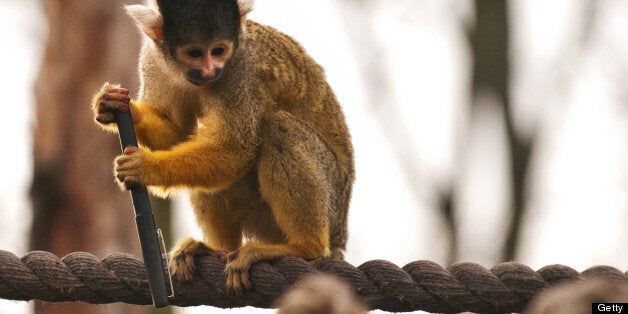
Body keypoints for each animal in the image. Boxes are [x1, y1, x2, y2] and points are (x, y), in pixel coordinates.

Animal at [92, 0, 354, 296]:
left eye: (218, 51)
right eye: (195, 53)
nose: (210, 71)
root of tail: (340, 237)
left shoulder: (239, 70)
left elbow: (236, 149)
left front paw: (147, 168)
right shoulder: (153, 58)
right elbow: (177, 132)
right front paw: (117, 106)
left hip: (331, 201)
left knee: (277, 129)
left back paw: (303, 247)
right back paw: (218, 250)